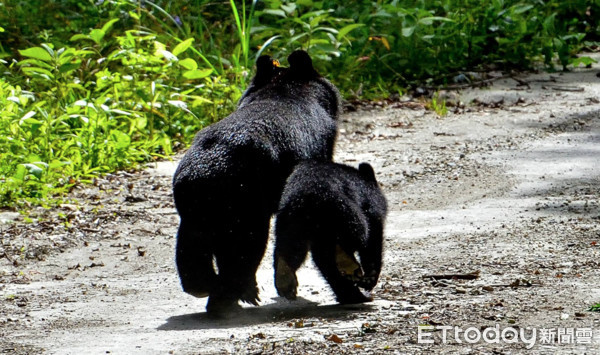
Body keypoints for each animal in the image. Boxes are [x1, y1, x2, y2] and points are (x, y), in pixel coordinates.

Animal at [173, 51, 342, 316]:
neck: (282, 88)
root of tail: (207, 170)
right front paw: (287, 284)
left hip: (194, 211)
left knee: (193, 251)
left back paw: (207, 288)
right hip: (245, 207)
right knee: (245, 248)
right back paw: (227, 297)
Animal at [274, 163, 386, 304]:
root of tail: (307, 197)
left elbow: (323, 261)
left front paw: (352, 295)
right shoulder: (369, 205)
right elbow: (373, 238)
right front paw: (368, 281)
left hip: (289, 222)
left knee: (290, 249)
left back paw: (284, 278)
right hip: (344, 211)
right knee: (358, 232)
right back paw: (346, 261)